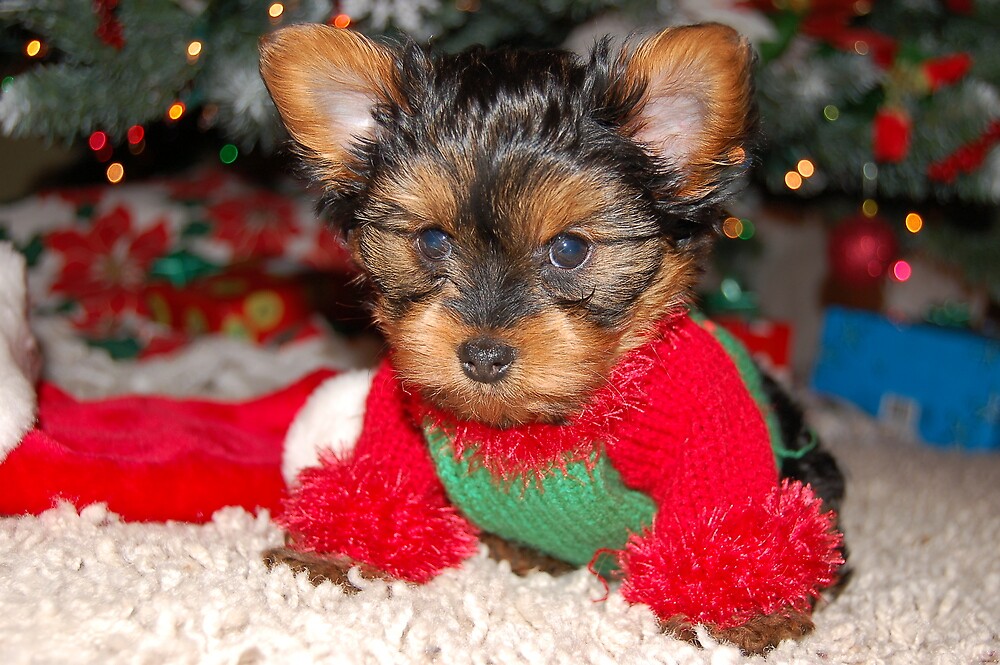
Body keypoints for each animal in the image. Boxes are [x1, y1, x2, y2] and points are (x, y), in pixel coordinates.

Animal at [258, 20, 844, 652]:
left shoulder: (697, 394)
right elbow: (381, 484)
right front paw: (333, 556)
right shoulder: (400, 402)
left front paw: (741, 610)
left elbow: (721, 491)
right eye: (432, 242)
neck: (529, 423)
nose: (483, 355)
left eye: (569, 249)